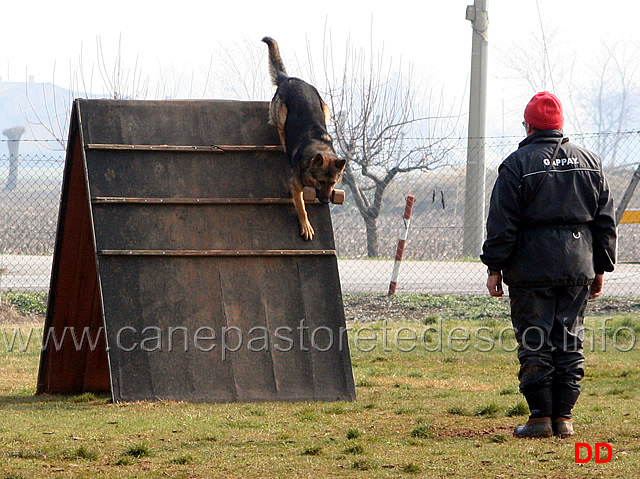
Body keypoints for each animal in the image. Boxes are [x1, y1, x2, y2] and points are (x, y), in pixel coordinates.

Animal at [262, 36, 348, 240]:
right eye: (321, 182)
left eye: (333, 183)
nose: (325, 201)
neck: (318, 148)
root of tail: (289, 79)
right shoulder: (295, 186)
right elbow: (301, 207)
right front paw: (306, 225)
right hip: (281, 112)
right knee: (280, 129)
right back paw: (284, 143)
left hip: (325, 108)